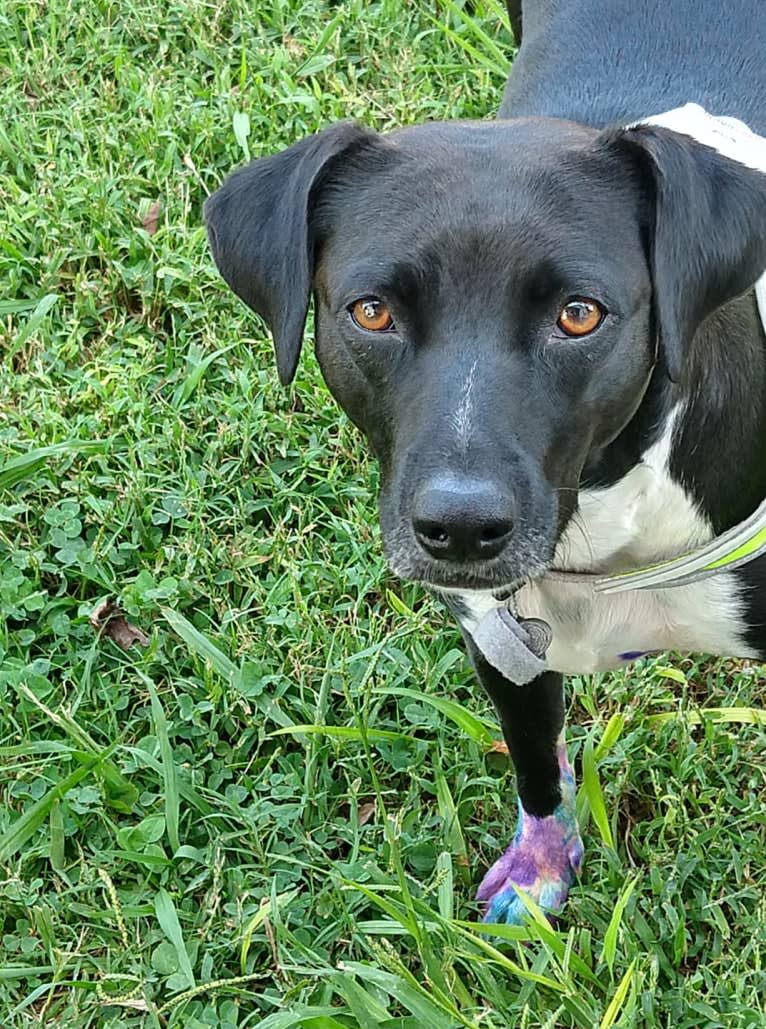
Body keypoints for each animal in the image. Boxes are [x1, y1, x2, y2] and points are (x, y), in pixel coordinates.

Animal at [203, 2, 766, 926]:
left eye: (580, 315)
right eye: (371, 311)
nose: (461, 529)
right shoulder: (501, 647)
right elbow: (537, 767)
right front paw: (541, 870)